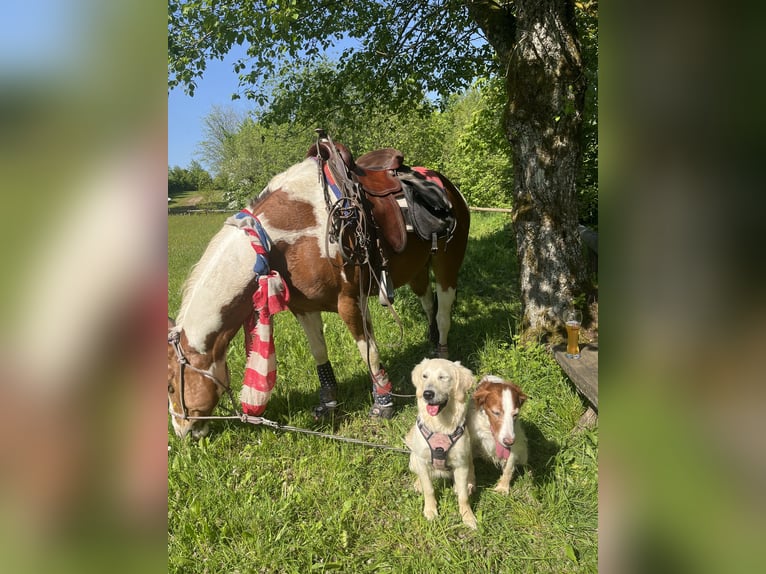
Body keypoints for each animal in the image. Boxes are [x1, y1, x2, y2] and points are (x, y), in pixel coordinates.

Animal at [168, 139, 470, 438]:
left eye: (170, 386)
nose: (182, 432)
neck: (283, 241)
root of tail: (447, 186)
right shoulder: (304, 307)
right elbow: (319, 352)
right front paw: (328, 403)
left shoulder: (350, 302)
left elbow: (369, 352)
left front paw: (383, 402)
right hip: (417, 269)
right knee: (428, 302)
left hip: (447, 263)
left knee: (443, 310)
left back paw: (442, 354)